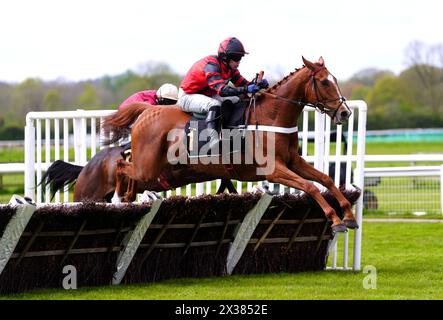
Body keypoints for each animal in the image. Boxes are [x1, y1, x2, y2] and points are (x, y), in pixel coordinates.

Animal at [105, 57, 360, 232]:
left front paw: (349, 215)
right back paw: (118, 198)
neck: (272, 116)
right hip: (147, 167)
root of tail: (148, 110)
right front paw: (336, 220)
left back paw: (128, 197)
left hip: (157, 171)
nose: (345, 113)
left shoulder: (293, 162)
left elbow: (326, 179)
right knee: (122, 165)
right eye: (324, 82)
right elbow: (310, 187)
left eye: (335, 80)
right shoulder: (274, 170)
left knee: (129, 172)